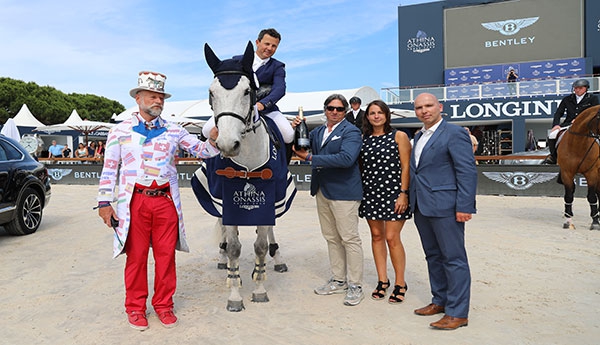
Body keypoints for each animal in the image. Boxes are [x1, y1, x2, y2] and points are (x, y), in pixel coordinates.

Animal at [192, 41, 296, 310]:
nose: (227, 145)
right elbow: (234, 248)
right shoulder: (224, 196)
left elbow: (260, 246)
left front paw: (259, 289)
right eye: (211, 93)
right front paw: (235, 293)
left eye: (248, 91)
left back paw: (277, 257)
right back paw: (222, 255)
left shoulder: (269, 196)